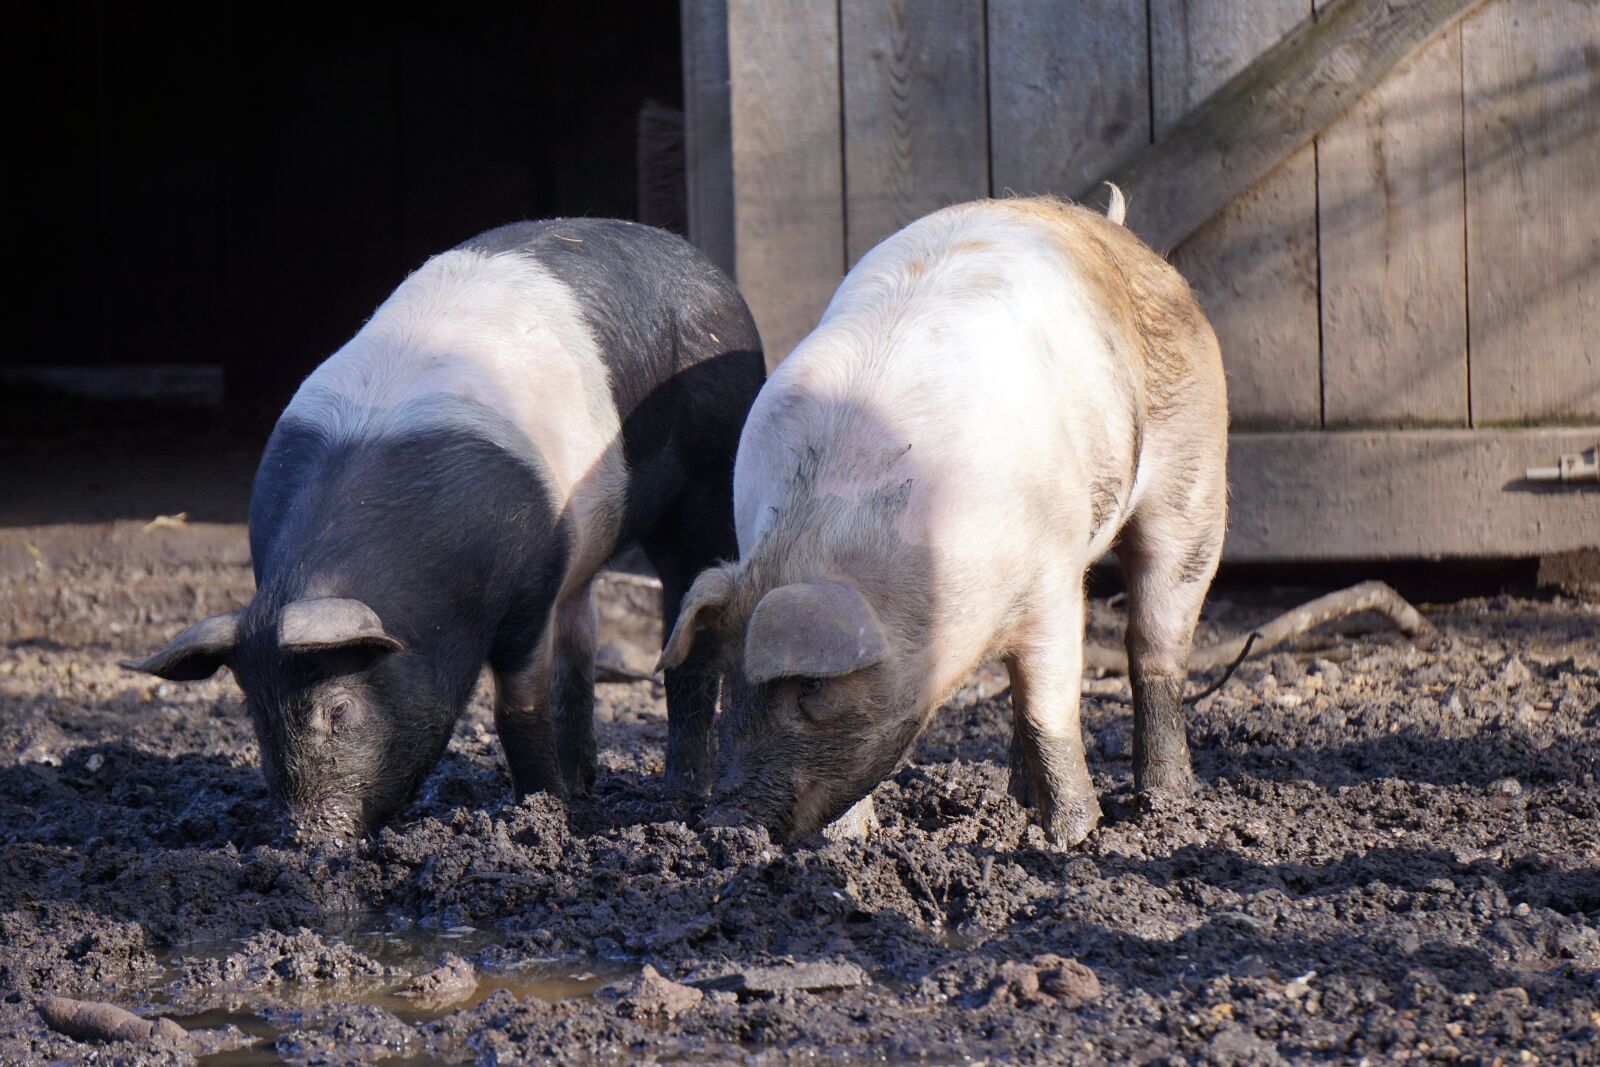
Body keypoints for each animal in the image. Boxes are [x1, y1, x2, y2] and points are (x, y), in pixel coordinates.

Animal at [125, 219, 764, 839]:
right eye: (253, 713)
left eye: (339, 710)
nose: (308, 837)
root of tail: (705, 266)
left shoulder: (531, 582)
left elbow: (518, 708)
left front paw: (543, 815)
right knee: (580, 637)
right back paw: (584, 783)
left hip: (709, 477)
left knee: (685, 623)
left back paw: (679, 794)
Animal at [657, 194, 1227, 847]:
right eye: (730, 673)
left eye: (810, 687)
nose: (724, 823)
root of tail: (1117, 230)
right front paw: (848, 844)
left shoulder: (1051, 582)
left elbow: (1047, 713)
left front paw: (1073, 839)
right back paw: (1019, 801)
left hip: (1196, 482)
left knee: (1155, 645)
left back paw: (1166, 803)